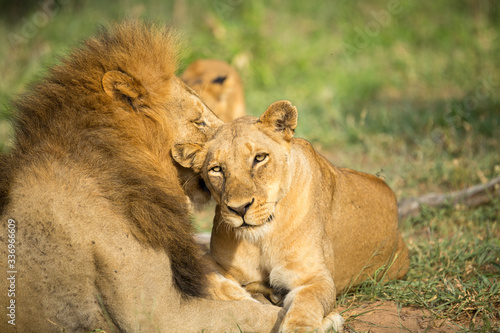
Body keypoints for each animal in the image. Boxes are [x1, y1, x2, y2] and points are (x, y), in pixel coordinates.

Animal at [172, 100, 410, 330]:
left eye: (259, 158)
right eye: (216, 169)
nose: (240, 209)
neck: (263, 237)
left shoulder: (314, 278)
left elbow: (304, 310)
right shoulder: (211, 261)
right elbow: (218, 285)